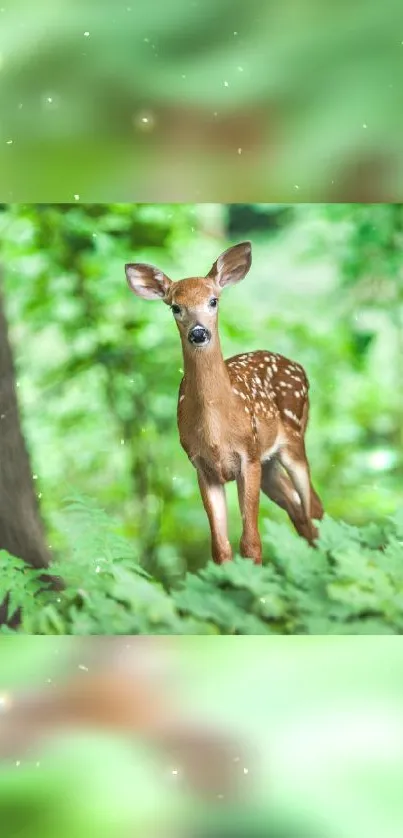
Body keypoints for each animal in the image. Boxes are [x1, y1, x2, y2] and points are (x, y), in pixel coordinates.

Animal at [126, 241, 326, 564]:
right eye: (175, 307)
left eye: (213, 301)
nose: (198, 333)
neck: (216, 431)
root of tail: (298, 367)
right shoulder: (202, 467)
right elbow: (220, 547)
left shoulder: (248, 456)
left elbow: (251, 542)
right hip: (269, 464)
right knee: (300, 510)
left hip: (293, 440)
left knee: (313, 508)